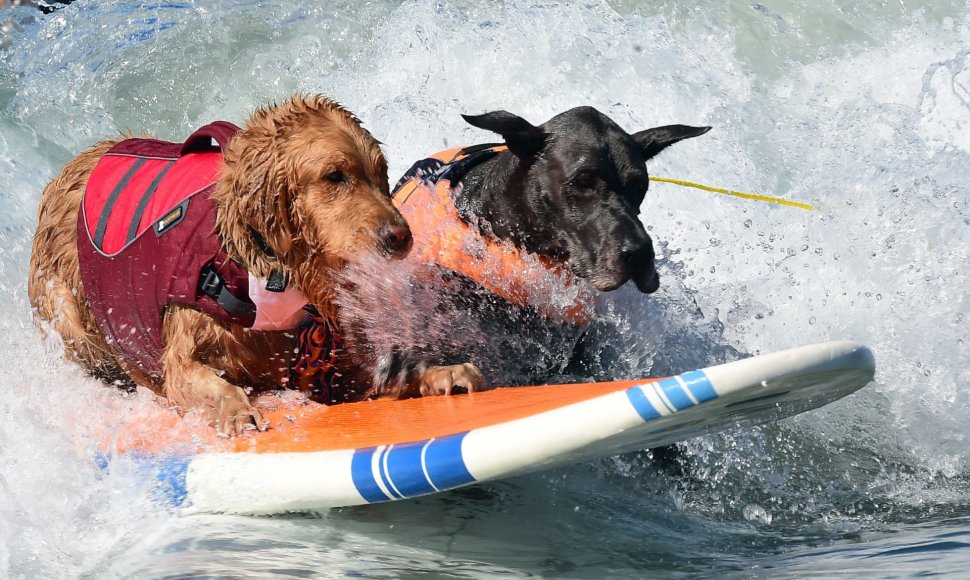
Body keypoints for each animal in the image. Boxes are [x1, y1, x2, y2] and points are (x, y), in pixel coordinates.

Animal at [30, 94, 484, 436]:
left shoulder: (327, 364)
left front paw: (440, 372)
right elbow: (199, 379)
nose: (401, 236)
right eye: (335, 176)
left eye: (381, 174)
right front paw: (237, 412)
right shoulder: (184, 347)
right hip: (68, 314)